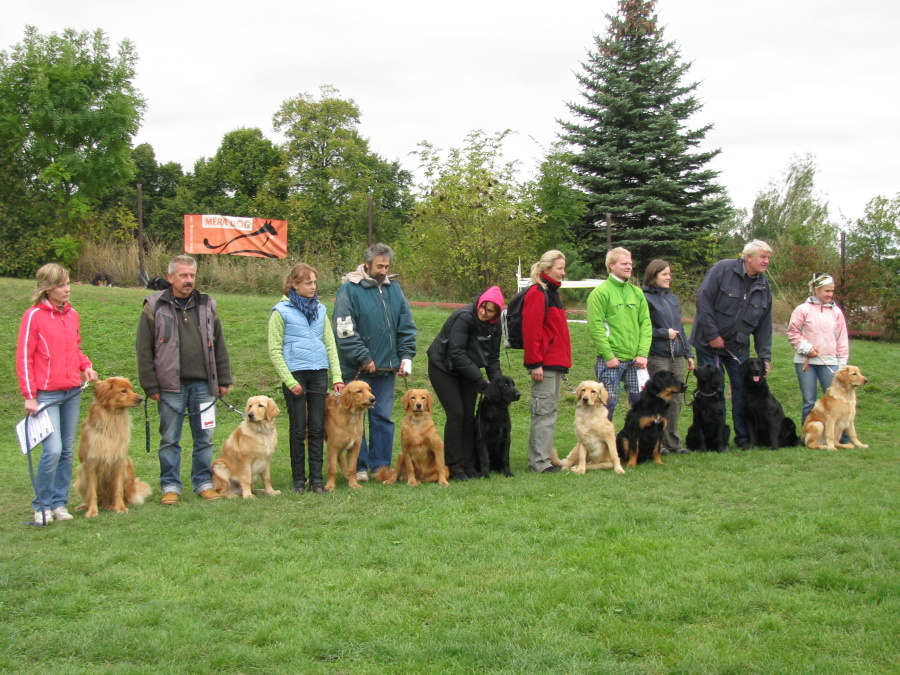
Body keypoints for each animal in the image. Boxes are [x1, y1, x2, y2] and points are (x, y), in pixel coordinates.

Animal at [75, 380, 151, 516]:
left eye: (131, 389)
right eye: (123, 391)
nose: (141, 399)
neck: (111, 418)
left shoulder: (120, 462)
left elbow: (118, 490)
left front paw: (120, 507)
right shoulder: (90, 464)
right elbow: (92, 492)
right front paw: (92, 511)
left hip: (128, 465)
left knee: (126, 498)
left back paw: (111, 505)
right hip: (80, 475)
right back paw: (85, 506)